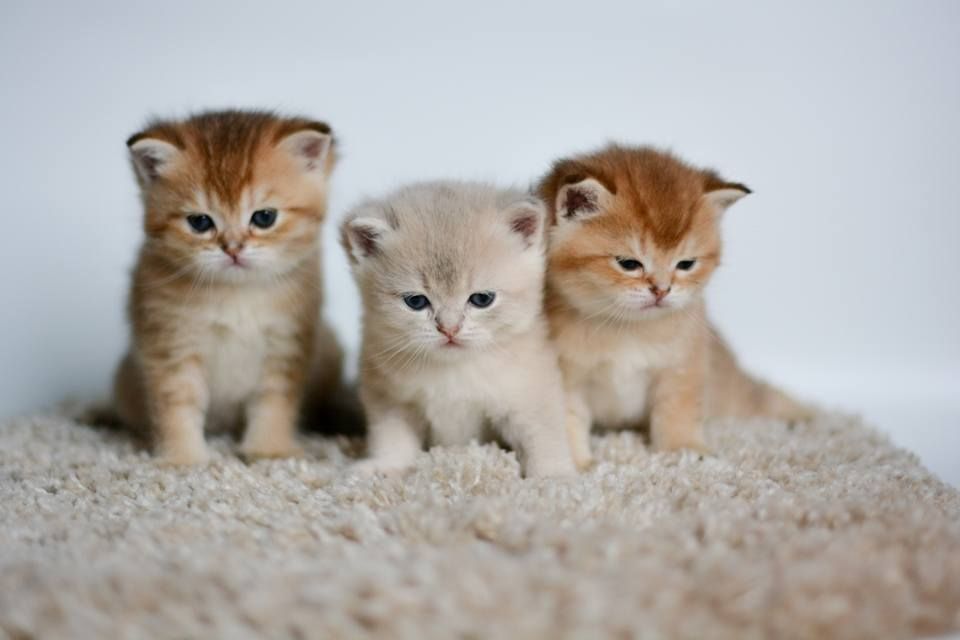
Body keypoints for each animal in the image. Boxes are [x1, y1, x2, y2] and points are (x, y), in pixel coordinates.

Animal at [114, 110, 344, 464]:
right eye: (200, 222)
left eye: (264, 217)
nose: (233, 249)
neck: (237, 294)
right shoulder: (169, 342)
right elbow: (176, 403)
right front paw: (182, 457)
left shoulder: (286, 345)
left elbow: (274, 401)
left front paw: (268, 449)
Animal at [340, 181, 576, 477]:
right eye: (416, 302)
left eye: (482, 299)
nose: (449, 329)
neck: (453, 371)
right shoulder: (389, 397)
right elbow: (392, 436)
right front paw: (385, 465)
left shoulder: (530, 390)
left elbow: (542, 435)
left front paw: (552, 475)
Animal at [538, 145, 814, 469]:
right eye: (628, 263)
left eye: (685, 264)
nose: (661, 290)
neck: (626, 330)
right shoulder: (565, 378)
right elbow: (564, 421)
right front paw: (575, 465)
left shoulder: (683, 366)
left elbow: (676, 411)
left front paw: (683, 449)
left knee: (761, 397)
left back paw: (806, 416)